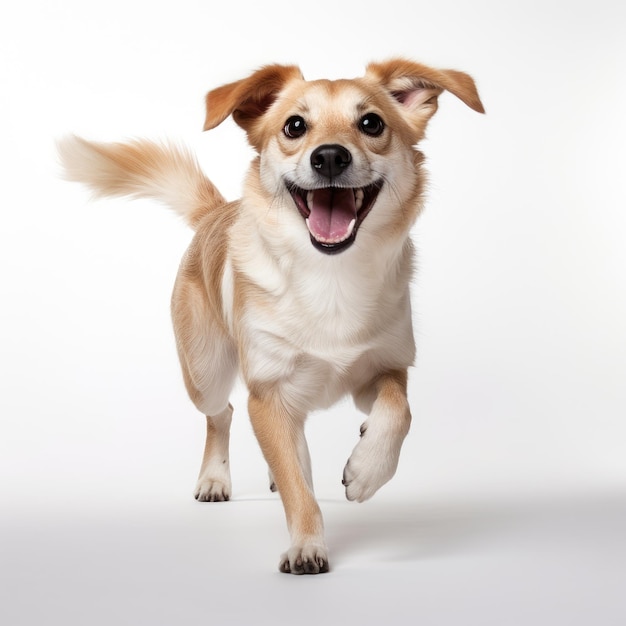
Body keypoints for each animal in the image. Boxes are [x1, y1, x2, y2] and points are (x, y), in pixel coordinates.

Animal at [58, 58, 482, 572]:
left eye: (371, 123)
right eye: (294, 126)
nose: (330, 157)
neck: (330, 276)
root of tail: (215, 212)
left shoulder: (383, 368)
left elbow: (398, 411)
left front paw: (366, 469)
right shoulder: (268, 391)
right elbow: (300, 490)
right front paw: (307, 545)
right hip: (205, 375)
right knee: (224, 414)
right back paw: (216, 478)